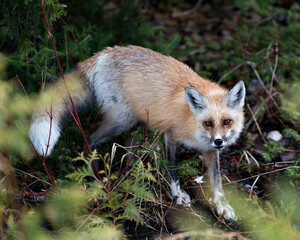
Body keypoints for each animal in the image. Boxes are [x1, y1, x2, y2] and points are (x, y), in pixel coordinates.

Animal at [29, 45, 246, 219]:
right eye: (208, 123)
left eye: (226, 122)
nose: (218, 141)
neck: (192, 121)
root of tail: (103, 53)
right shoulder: (171, 136)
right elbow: (173, 170)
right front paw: (178, 197)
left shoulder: (209, 150)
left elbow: (217, 182)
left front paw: (223, 207)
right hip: (122, 120)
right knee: (90, 140)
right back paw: (95, 179)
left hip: (138, 122)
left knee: (126, 151)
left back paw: (132, 179)